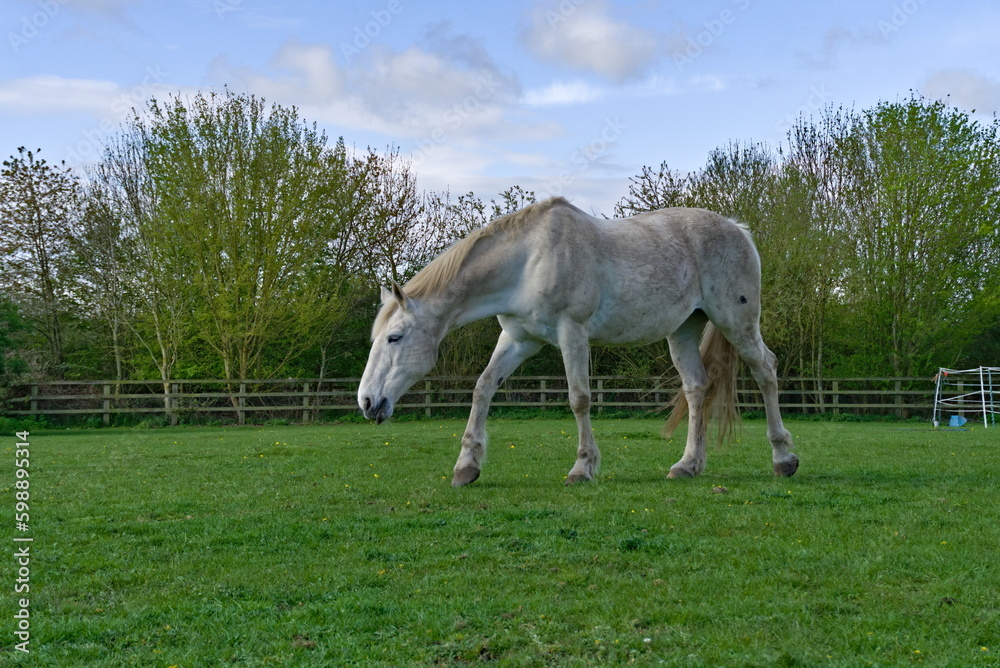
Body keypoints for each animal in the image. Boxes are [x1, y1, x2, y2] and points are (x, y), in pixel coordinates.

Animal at [358, 197, 798, 486]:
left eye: (395, 337)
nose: (366, 402)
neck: (529, 260)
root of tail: (738, 229)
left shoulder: (573, 333)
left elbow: (579, 399)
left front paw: (582, 467)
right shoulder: (518, 338)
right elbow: (483, 389)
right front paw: (467, 466)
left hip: (736, 322)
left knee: (766, 370)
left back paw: (784, 458)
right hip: (684, 329)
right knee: (696, 388)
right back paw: (687, 465)